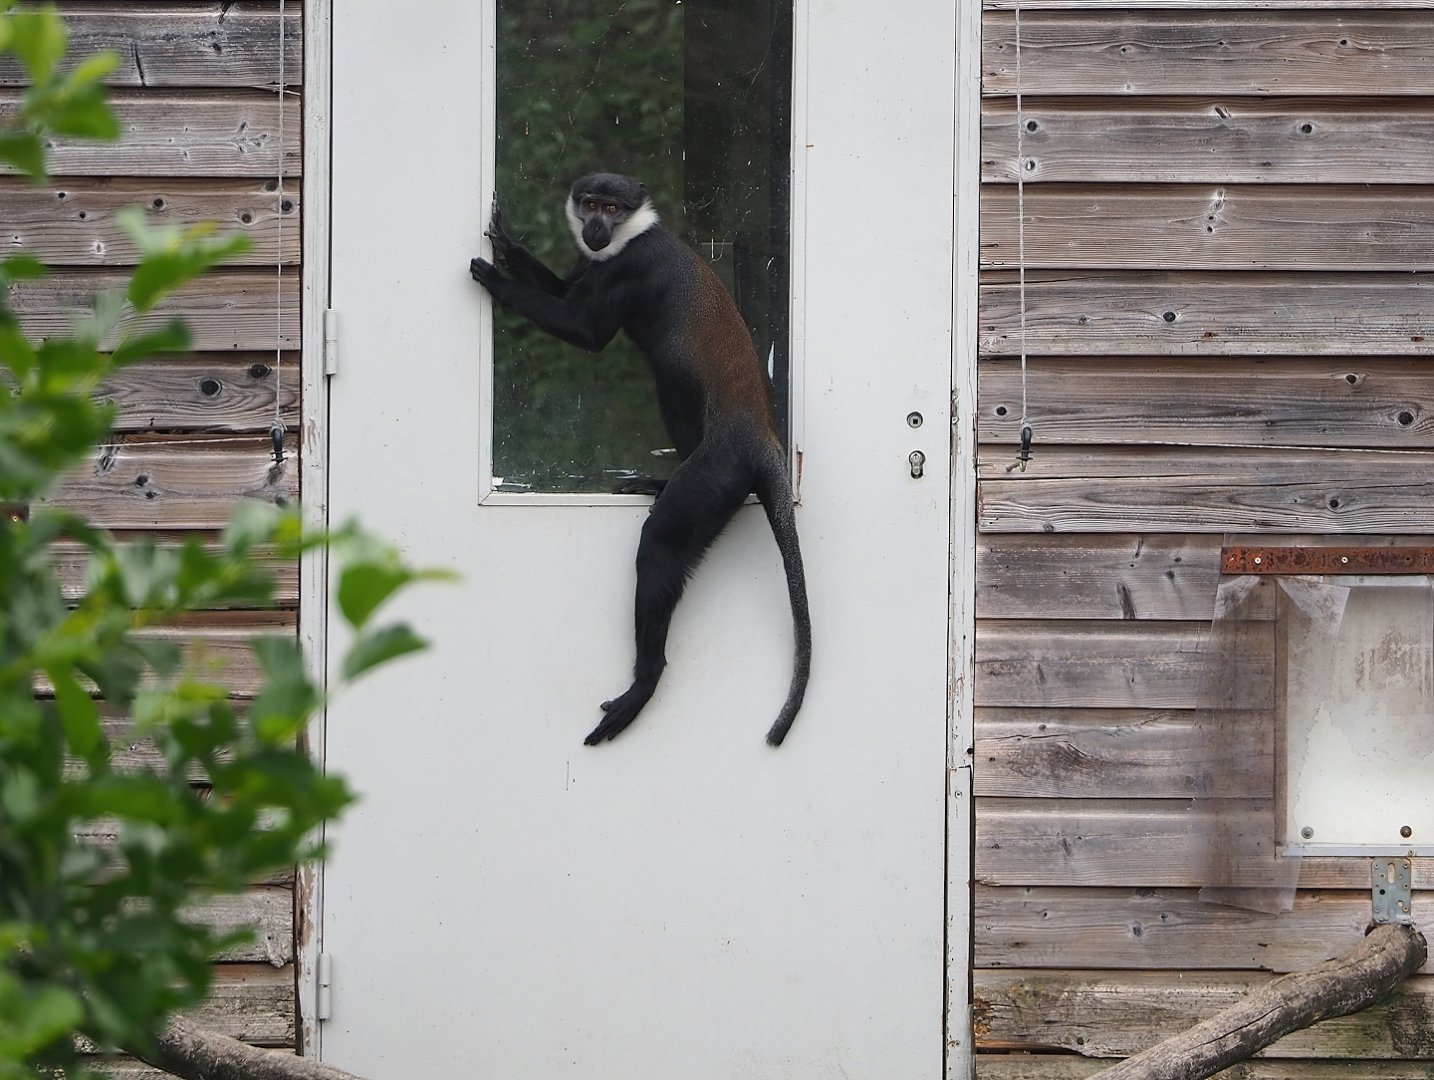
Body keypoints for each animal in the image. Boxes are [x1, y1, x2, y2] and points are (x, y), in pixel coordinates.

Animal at [469, 173, 810, 746]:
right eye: (589, 203)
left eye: (612, 207)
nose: (595, 226)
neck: (630, 236)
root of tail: (760, 440)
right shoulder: (596, 262)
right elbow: (565, 292)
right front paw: (508, 247)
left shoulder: (630, 266)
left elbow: (586, 331)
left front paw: (494, 277)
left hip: (718, 473)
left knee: (663, 544)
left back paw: (646, 678)